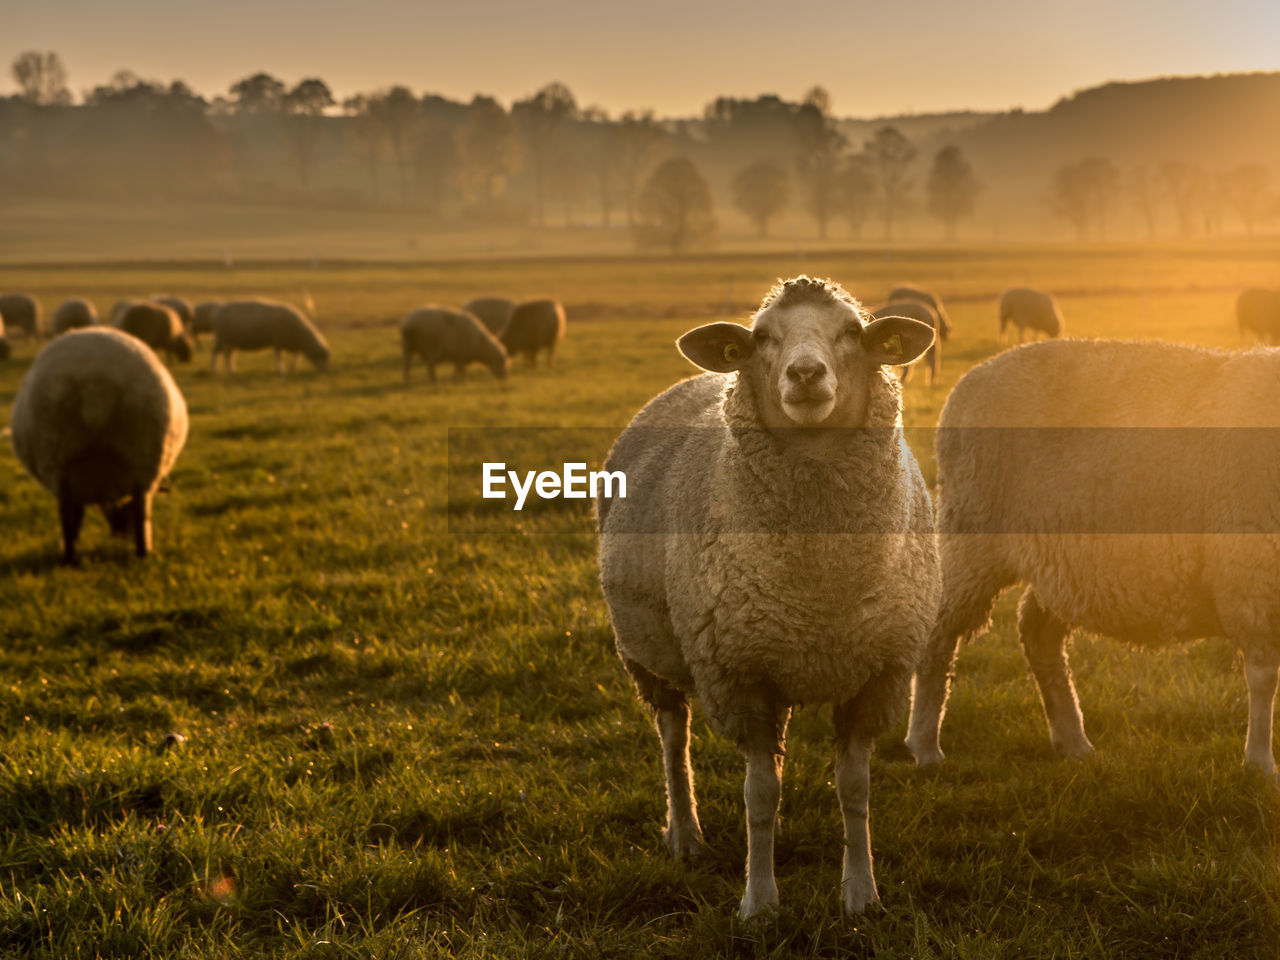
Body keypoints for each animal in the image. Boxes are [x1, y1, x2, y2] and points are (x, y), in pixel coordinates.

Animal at [11, 327, 188, 568]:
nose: (121, 535)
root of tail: (96, 387)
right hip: (142, 455)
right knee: (140, 511)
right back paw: (141, 553)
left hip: (58, 455)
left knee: (68, 516)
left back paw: (70, 558)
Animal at [596, 276, 942, 916]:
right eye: (761, 338)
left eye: (852, 331)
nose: (805, 374)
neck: (819, 585)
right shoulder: (741, 675)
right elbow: (761, 796)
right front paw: (758, 902)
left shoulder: (876, 675)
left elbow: (855, 790)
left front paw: (861, 893)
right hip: (647, 651)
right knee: (672, 735)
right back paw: (685, 834)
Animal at [906, 343, 1280, 778]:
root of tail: (972, 377)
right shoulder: (1251, 576)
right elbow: (1263, 676)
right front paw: (1260, 763)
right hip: (972, 533)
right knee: (940, 634)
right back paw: (925, 745)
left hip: (1060, 563)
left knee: (1037, 634)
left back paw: (1073, 741)